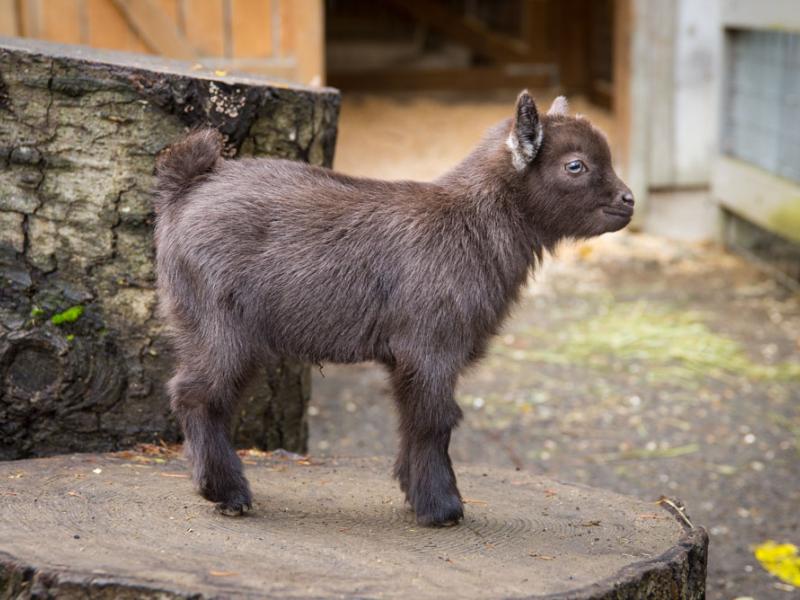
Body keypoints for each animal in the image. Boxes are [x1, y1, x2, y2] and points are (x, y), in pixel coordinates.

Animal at [153, 90, 636, 524]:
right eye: (575, 165)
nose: (628, 201)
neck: (471, 223)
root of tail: (187, 188)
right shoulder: (430, 346)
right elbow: (433, 420)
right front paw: (442, 508)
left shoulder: (411, 356)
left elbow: (411, 420)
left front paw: (415, 493)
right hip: (220, 322)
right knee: (197, 395)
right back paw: (228, 493)